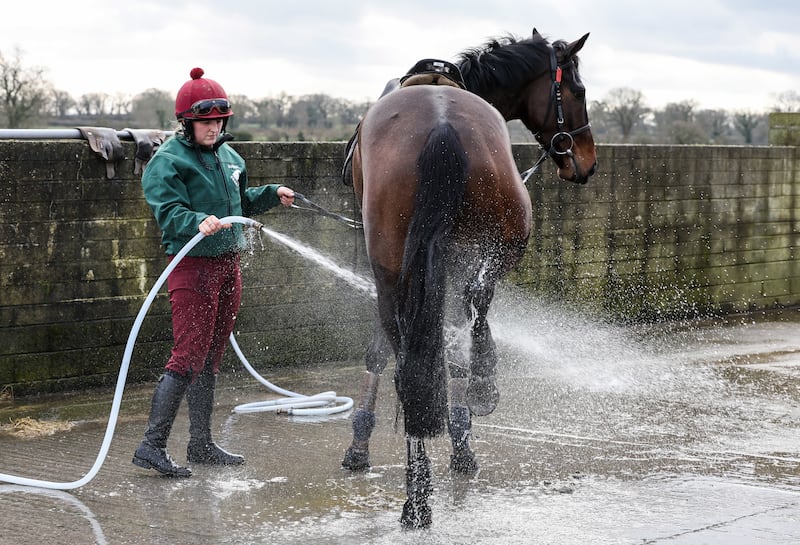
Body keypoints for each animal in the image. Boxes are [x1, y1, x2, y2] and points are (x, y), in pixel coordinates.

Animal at [341, 29, 597, 528]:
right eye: (577, 91)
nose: (586, 160)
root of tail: (441, 125)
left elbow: (383, 352)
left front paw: (362, 443)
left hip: (399, 265)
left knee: (412, 363)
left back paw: (417, 496)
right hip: (484, 248)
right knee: (469, 314)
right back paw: (478, 393)